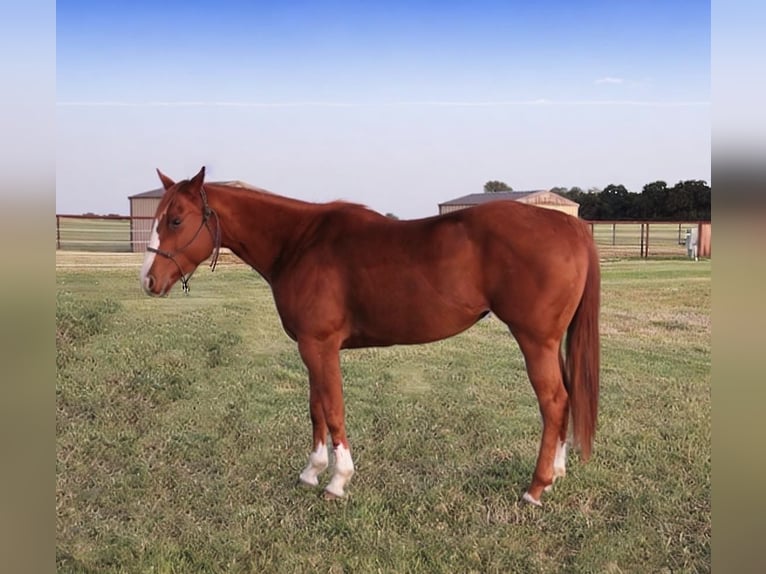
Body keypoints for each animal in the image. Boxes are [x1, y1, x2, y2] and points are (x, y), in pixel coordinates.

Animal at [140, 167, 600, 506]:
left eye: (176, 219)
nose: (148, 281)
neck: (300, 243)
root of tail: (571, 227)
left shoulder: (320, 345)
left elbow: (333, 409)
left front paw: (337, 481)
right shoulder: (311, 347)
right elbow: (316, 409)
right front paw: (312, 472)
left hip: (535, 340)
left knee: (553, 401)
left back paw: (536, 487)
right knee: (565, 398)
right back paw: (556, 472)